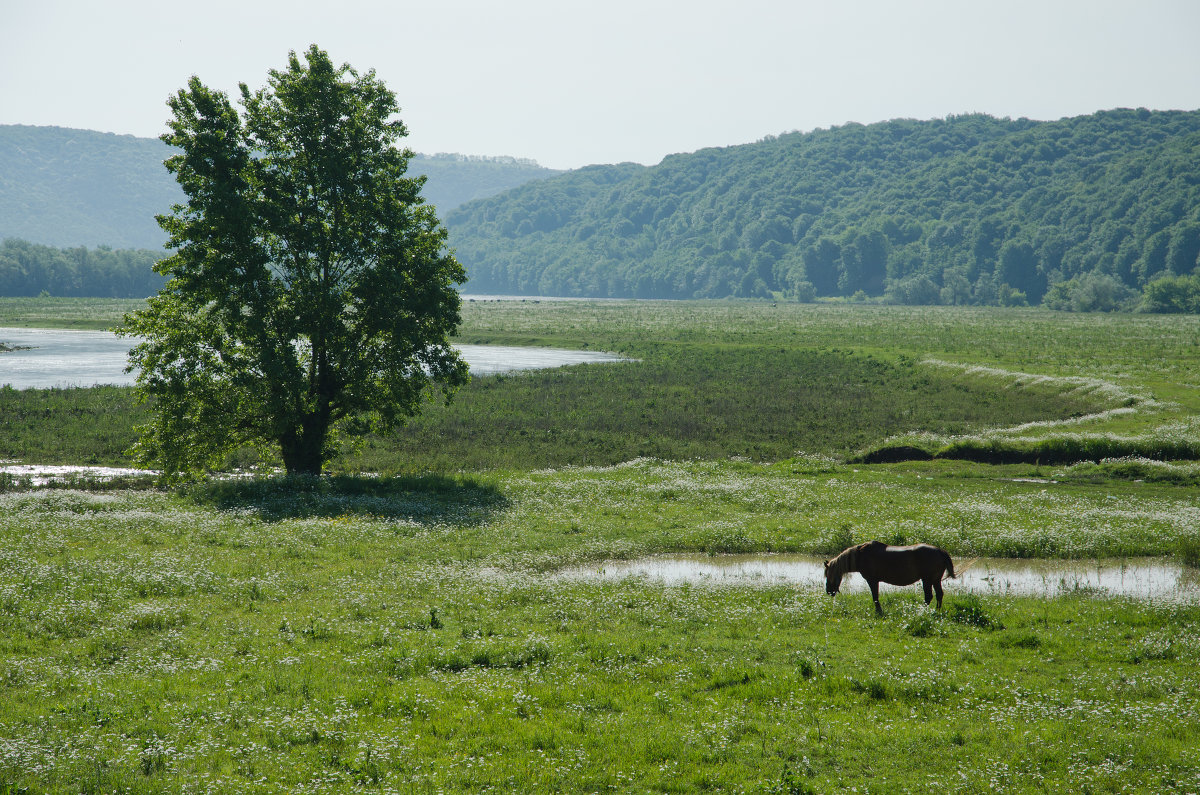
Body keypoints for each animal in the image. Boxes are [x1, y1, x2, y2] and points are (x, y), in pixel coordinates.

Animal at [825, 542, 955, 614]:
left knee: (928, 596)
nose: (829, 592)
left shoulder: (872, 580)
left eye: (828, 575)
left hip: (927, 580)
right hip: (935, 580)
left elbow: (875, 597)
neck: (860, 555)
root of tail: (940, 551)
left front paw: (878, 611)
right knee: (939, 595)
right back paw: (936, 611)